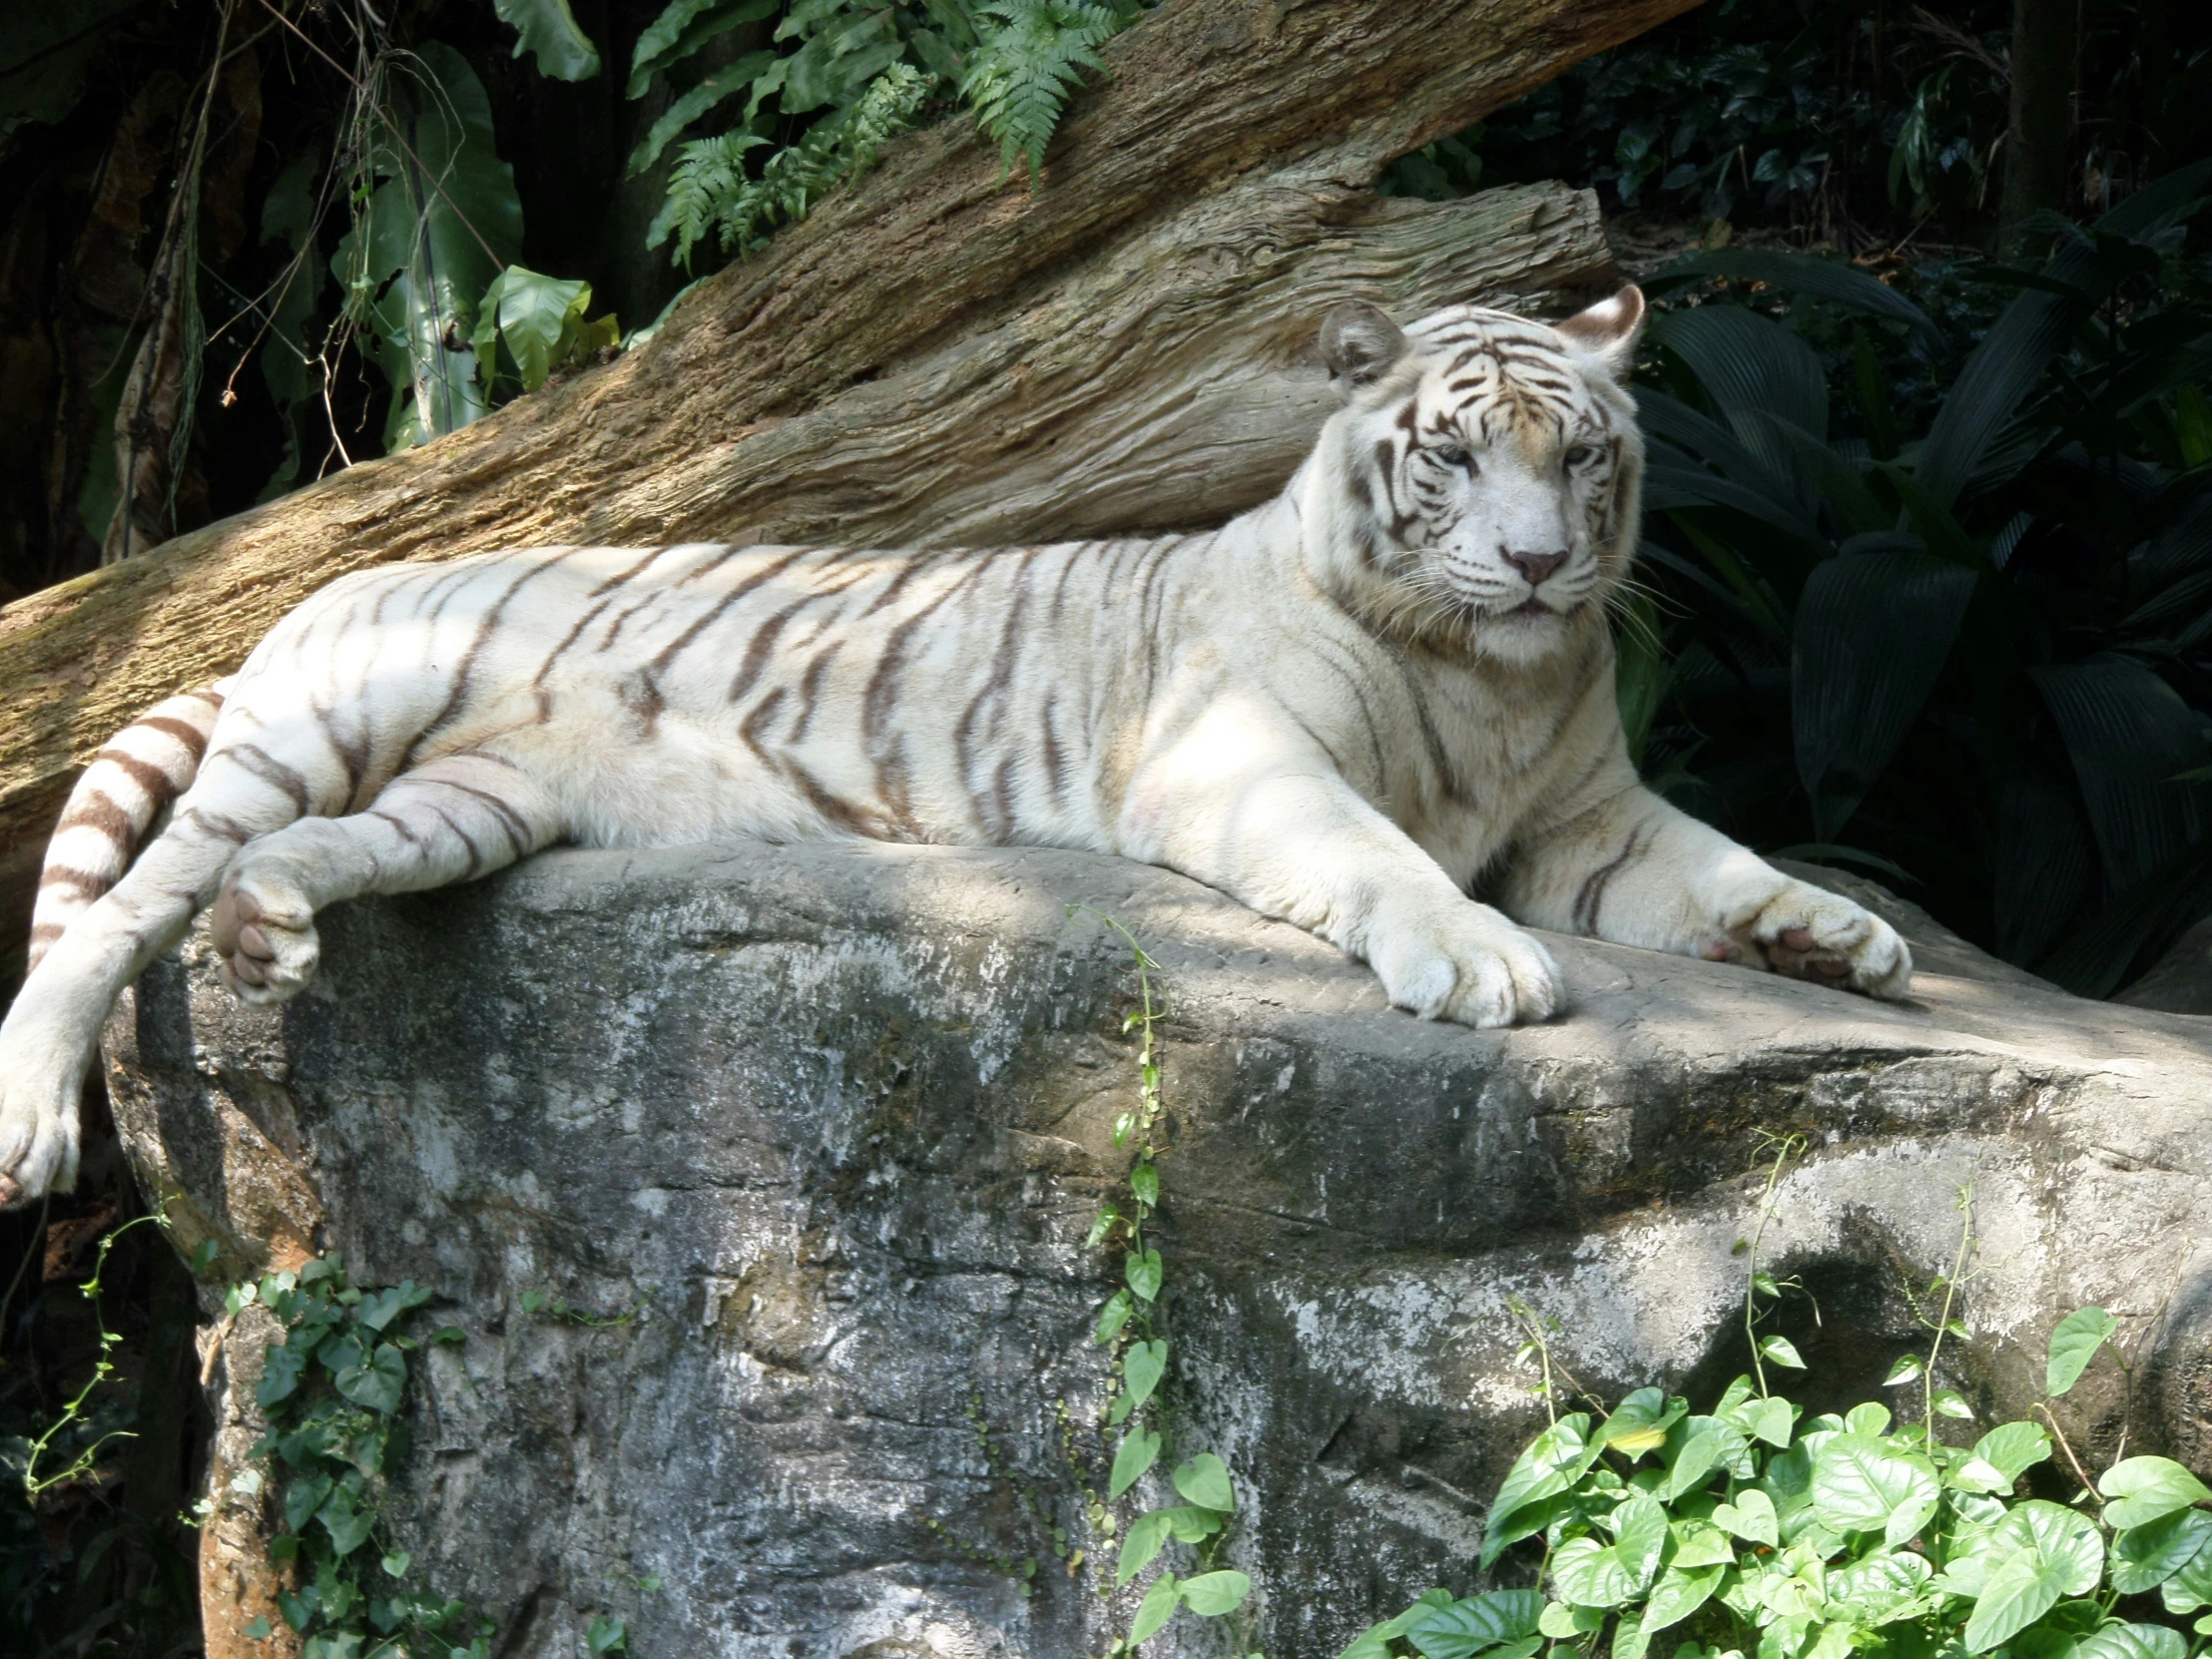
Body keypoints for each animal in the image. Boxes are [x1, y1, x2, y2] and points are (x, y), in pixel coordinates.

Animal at [0, 289, 1902, 1212]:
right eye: (1453, 456)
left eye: (1580, 457)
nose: (1538, 561)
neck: (1489, 675)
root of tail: (311, 588)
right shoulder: (1245, 762)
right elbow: (1387, 860)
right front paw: (1482, 960)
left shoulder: (1591, 810)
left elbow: (1724, 862)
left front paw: (1842, 938)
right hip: (324, 724)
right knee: (117, 914)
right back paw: (41, 1113)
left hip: (465, 805)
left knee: (282, 868)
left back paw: (270, 933)